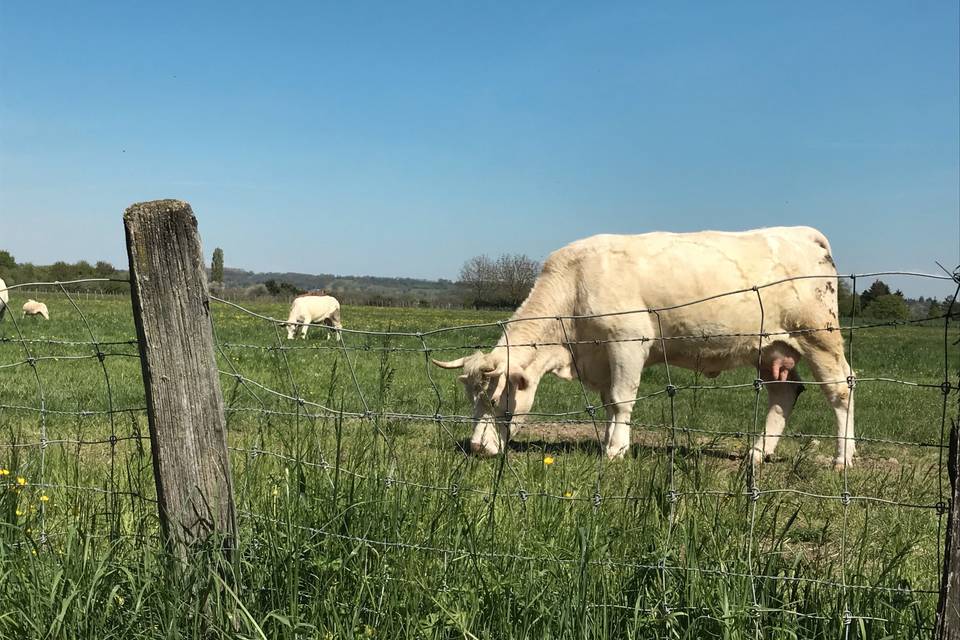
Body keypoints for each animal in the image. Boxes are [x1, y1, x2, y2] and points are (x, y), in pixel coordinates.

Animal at [436, 225, 856, 470]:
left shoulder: (627, 340)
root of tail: (802, 233)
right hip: (769, 349)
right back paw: (757, 453)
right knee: (784, 392)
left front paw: (616, 451)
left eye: (494, 400)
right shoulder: (603, 354)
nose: (476, 448)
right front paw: (608, 440)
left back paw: (842, 458)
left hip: (819, 335)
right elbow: (609, 403)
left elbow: (622, 399)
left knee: (840, 390)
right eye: (471, 401)